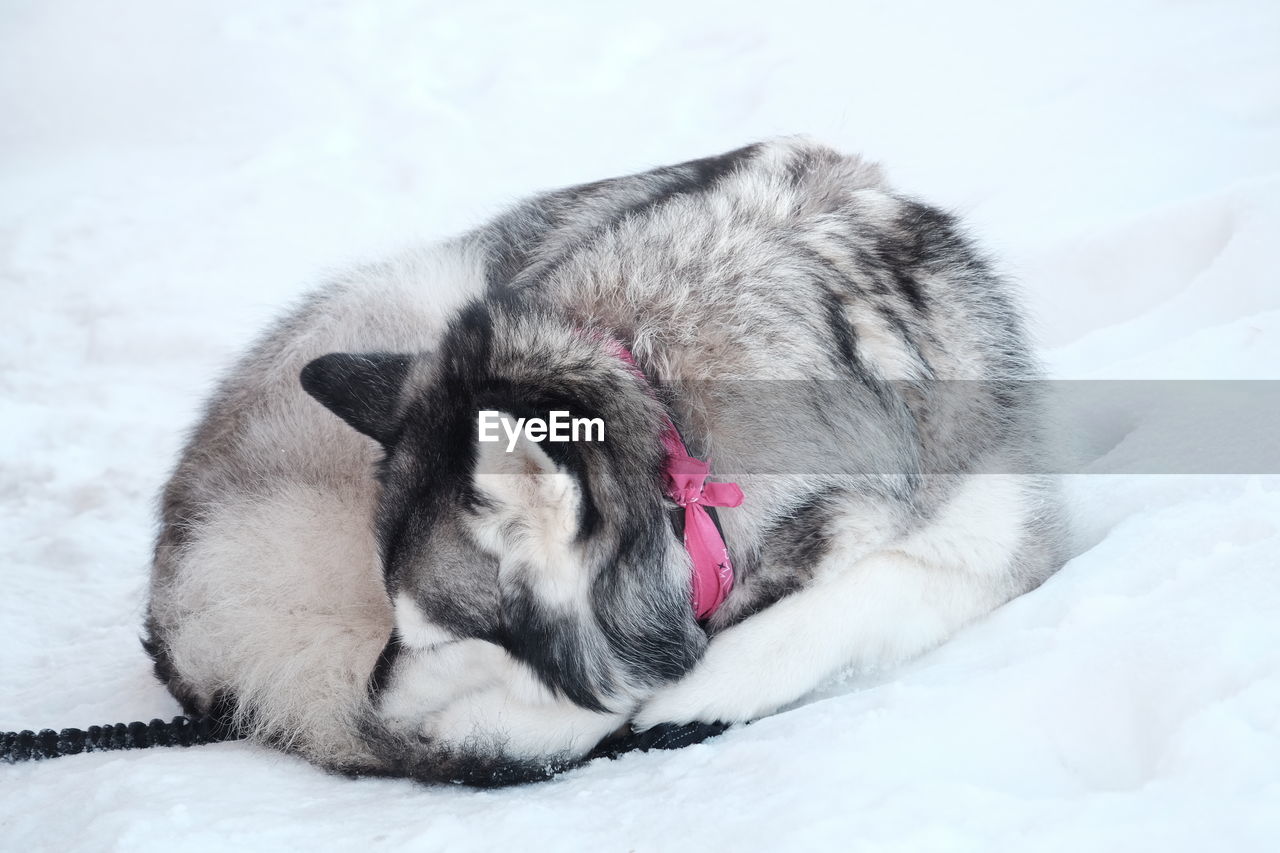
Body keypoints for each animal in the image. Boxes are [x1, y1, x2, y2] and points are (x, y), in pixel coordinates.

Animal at [140, 137, 1064, 783]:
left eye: (440, 635)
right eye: (398, 622)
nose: (373, 705)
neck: (670, 407)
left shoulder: (1003, 534)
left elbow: (854, 600)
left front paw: (696, 687)